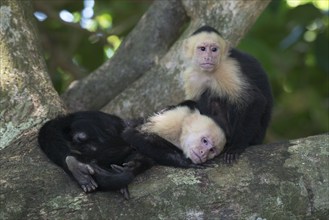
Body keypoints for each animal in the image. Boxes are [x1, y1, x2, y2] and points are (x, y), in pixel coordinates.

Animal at [181, 25, 272, 163]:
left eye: (214, 49)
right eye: (202, 49)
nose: (208, 57)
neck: (209, 73)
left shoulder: (228, 69)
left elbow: (255, 100)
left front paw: (237, 146)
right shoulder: (191, 76)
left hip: (256, 134)